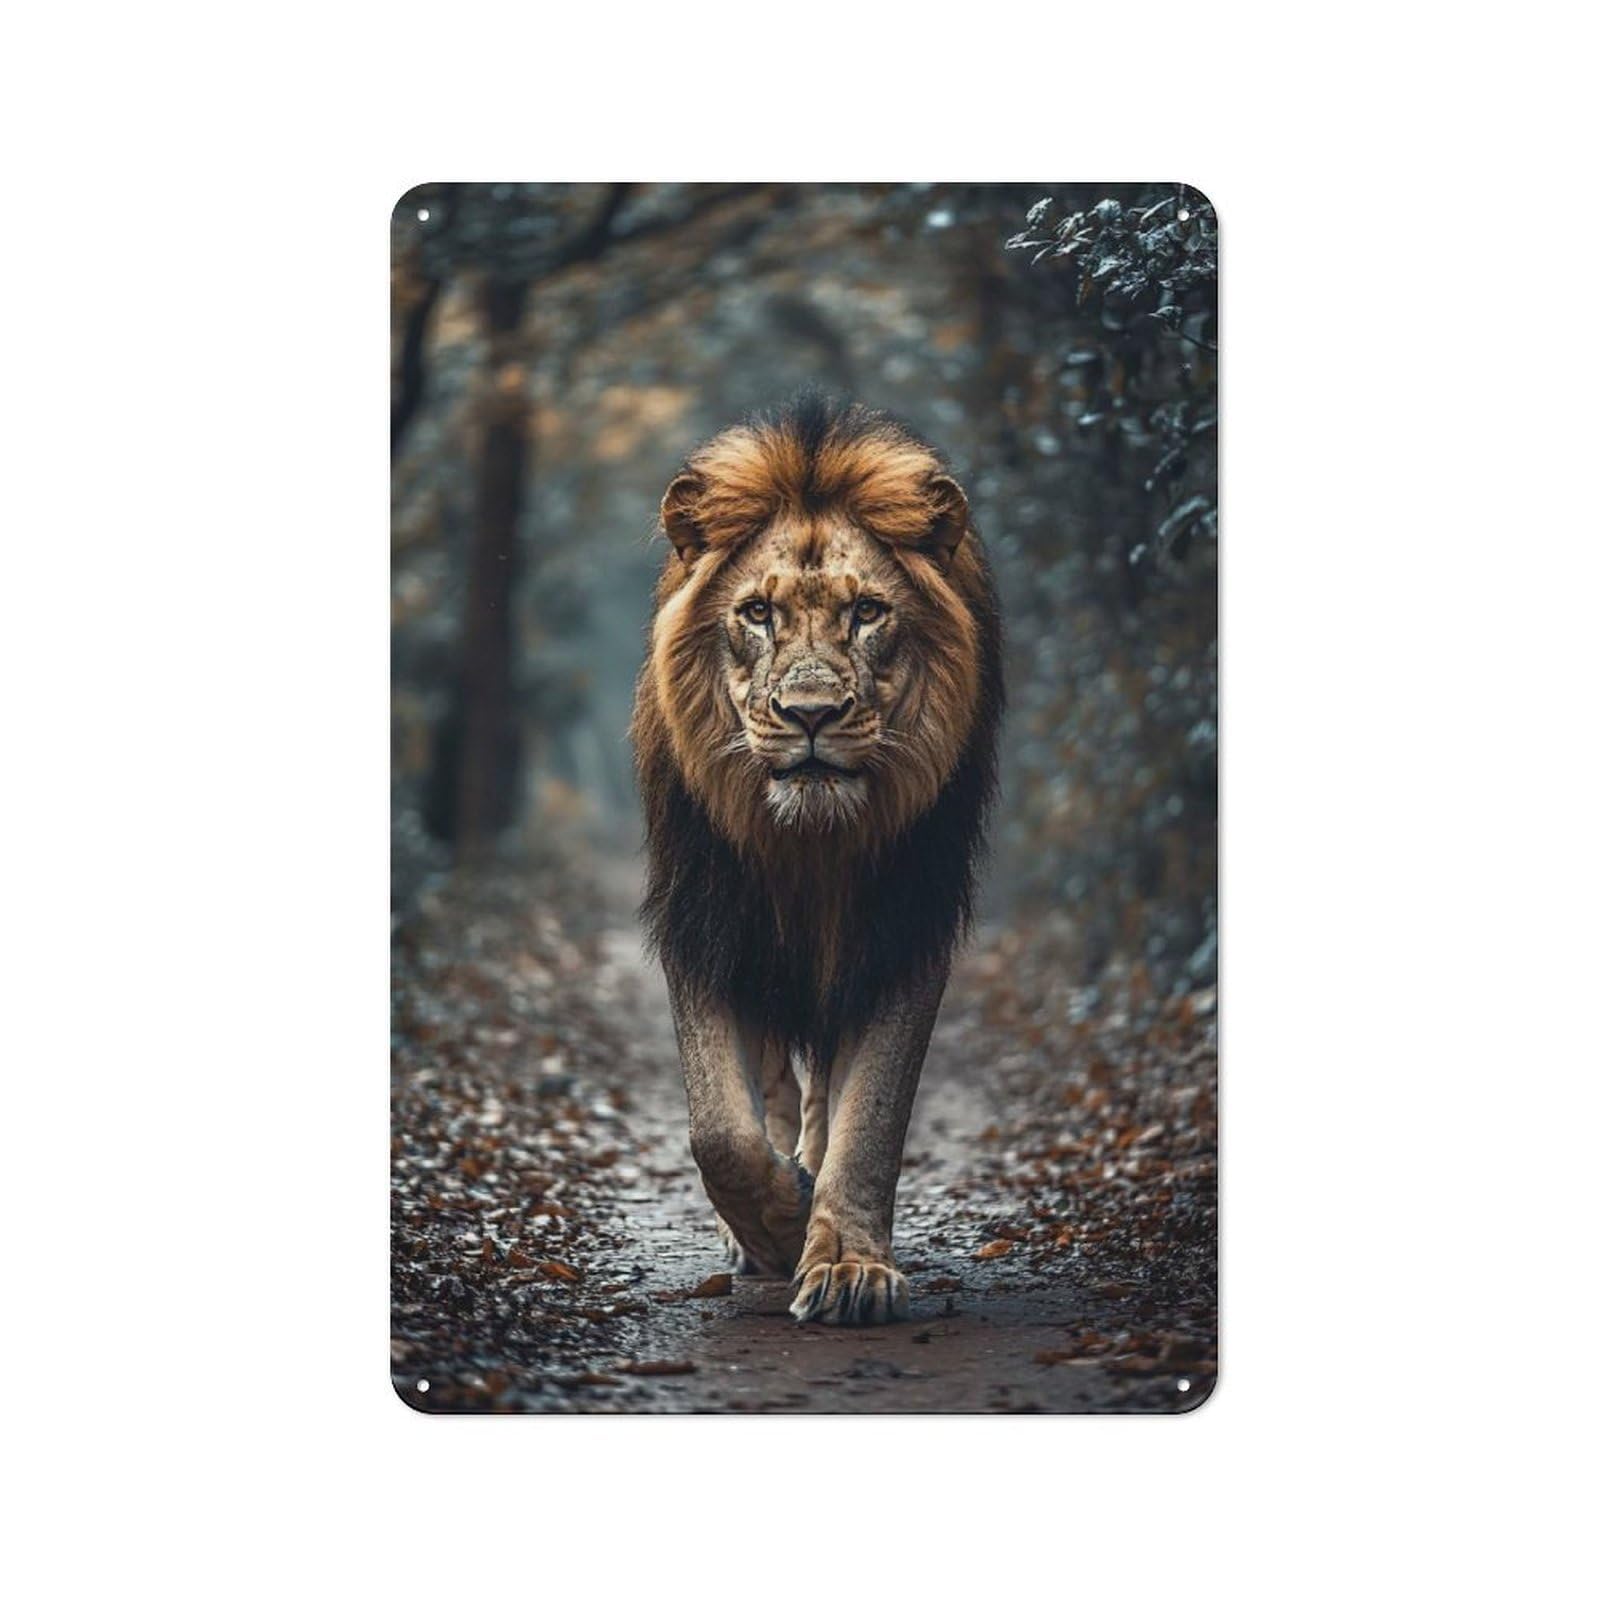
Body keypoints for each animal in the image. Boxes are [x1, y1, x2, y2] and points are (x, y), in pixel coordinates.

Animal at [631, 394, 1002, 1325]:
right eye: (757, 614)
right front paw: (779, 1225)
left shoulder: (904, 926)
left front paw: (845, 1263)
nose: (809, 714)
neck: (809, 843)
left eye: (867, 612)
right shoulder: (704, 912)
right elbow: (720, 1129)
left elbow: (871, 1118)